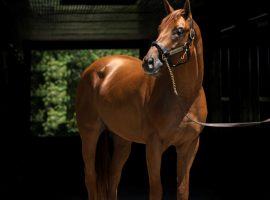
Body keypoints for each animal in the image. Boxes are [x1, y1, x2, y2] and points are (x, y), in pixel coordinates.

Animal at [75, 0, 206, 199]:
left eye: (179, 30)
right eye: (159, 28)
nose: (149, 62)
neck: (183, 98)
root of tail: (93, 69)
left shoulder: (189, 145)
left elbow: (182, 189)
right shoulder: (153, 145)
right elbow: (156, 189)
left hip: (122, 140)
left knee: (113, 178)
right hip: (89, 134)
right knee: (91, 178)